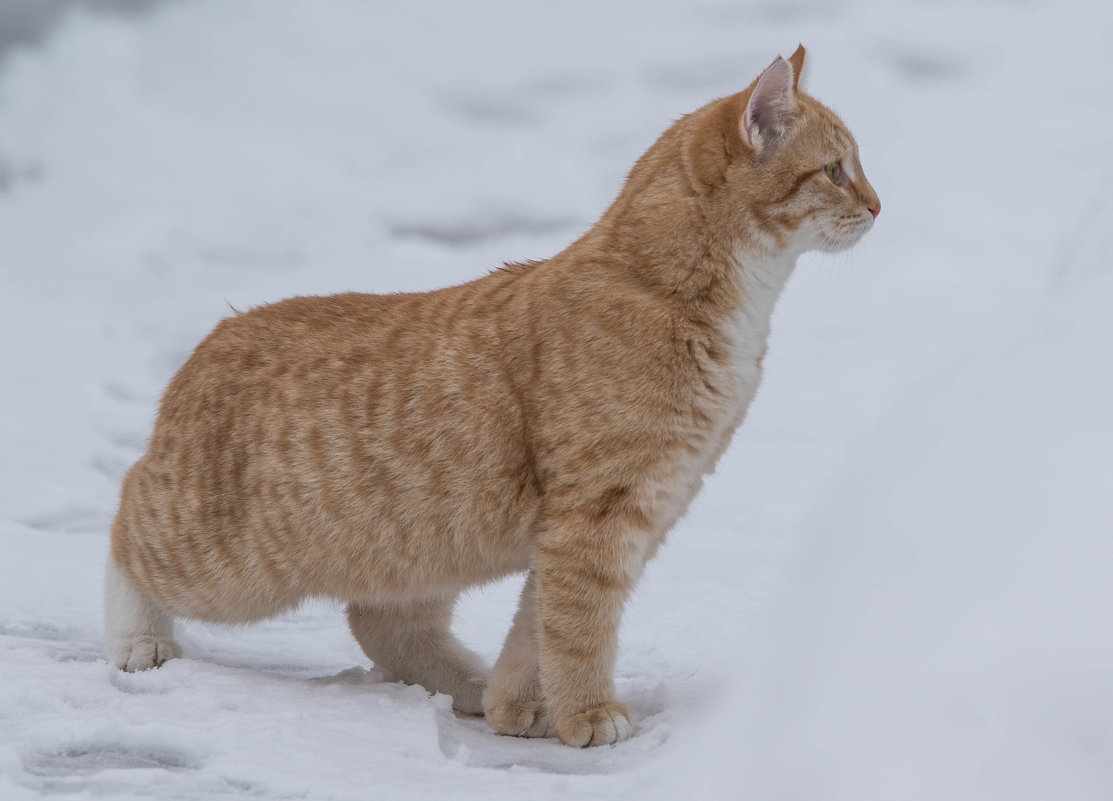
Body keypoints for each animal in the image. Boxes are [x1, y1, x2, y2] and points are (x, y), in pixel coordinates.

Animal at [108, 47, 881, 747]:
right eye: (835, 170)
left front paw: (516, 703)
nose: (878, 206)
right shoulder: (598, 514)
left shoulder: (633, 508)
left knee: (381, 623)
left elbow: (537, 623)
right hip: (231, 561)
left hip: (413, 548)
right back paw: (136, 640)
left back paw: (469, 684)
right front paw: (586, 712)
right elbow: (578, 627)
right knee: (125, 517)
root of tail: (216, 335)